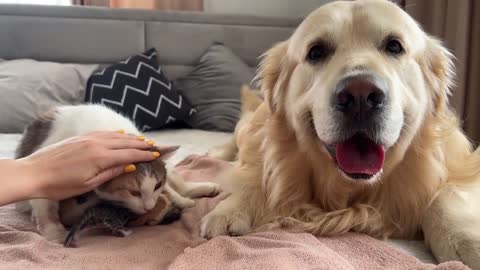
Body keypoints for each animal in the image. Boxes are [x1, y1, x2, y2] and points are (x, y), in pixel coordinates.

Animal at [14, 104, 221, 242]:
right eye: (133, 192)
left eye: (156, 185)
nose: (149, 207)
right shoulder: (50, 164)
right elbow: (45, 205)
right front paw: (53, 230)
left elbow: (169, 188)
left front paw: (180, 200)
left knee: (178, 181)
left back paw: (200, 190)